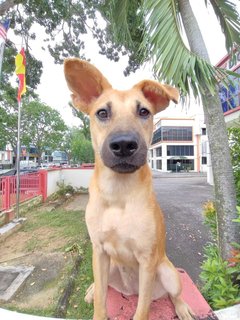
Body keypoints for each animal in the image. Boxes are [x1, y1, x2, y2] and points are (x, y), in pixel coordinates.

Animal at [64, 59, 195, 320]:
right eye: (102, 113)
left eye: (144, 111)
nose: (124, 144)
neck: (118, 193)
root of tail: (129, 290)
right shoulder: (99, 251)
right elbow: (101, 302)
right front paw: (96, 301)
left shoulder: (147, 260)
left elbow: (142, 309)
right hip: (110, 266)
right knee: (102, 286)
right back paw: (92, 289)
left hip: (167, 272)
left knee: (174, 295)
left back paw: (182, 308)